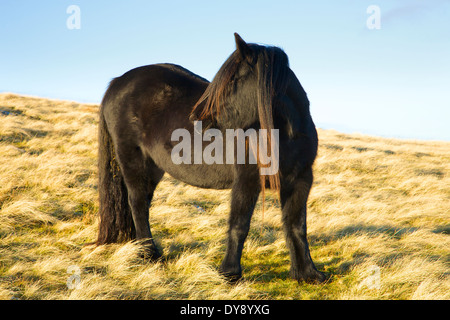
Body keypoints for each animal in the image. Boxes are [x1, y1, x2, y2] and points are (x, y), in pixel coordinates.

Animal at [96, 32, 326, 282]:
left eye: (234, 81)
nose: (197, 119)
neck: (286, 135)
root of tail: (118, 82)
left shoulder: (301, 180)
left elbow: (297, 227)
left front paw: (308, 274)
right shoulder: (247, 180)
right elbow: (239, 225)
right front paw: (230, 274)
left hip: (153, 167)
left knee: (143, 204)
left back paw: (139, 248)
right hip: (132, 159)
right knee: (137, 203)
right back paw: (149, 254)